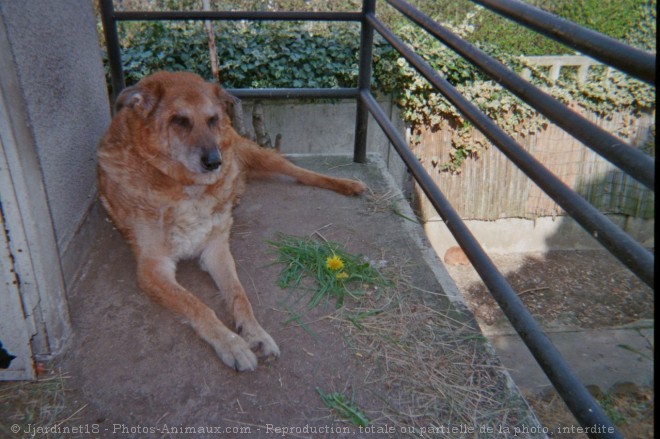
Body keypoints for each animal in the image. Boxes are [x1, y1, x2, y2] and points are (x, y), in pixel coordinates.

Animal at [98, 71, 366, 372]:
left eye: (212, 119)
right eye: (179, 120)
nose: (214, 161)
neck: (186, 186)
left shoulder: (217, 249)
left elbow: (240, 295)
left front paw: (256, 333)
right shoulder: (153, 268)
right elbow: (197, 305)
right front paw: (232, 344)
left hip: (252, 152)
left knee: (299, 172)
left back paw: (348, 184)